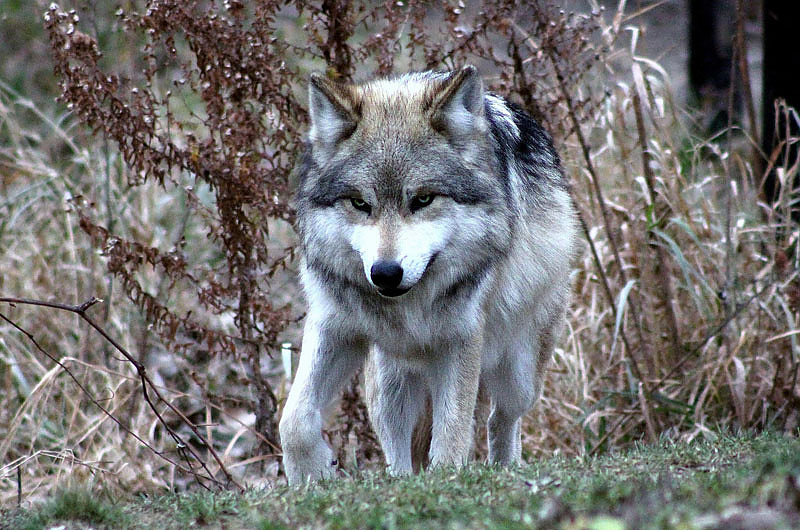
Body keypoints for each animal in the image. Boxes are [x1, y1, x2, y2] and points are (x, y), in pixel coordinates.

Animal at [279, 66, 577, 484]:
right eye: (360, 203)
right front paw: (311, 474)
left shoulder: (461, 339)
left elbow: (452, 430)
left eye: (422, 199)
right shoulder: (335, 326)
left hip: (519, 373)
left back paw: (505, 467)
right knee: (396, 443)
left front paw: (447, 478)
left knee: (500, 418)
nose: (386, 273)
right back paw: (401, 480)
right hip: (388, 381)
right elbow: (293, 420)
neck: (409, 307)